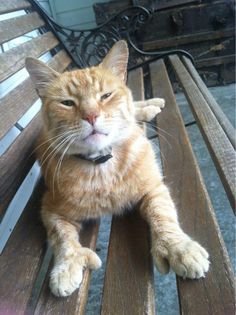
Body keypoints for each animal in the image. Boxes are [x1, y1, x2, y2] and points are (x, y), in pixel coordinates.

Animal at [25, 40, 209, 298]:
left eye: (106, 95)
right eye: (67, 103)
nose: (91, 116)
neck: (102, 166)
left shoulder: (153, 188)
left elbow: (163, 215)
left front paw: (178, 247)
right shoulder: (50, 210)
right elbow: (62, 239)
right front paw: (67, 265)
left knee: (134, 108)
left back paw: (151, 105)